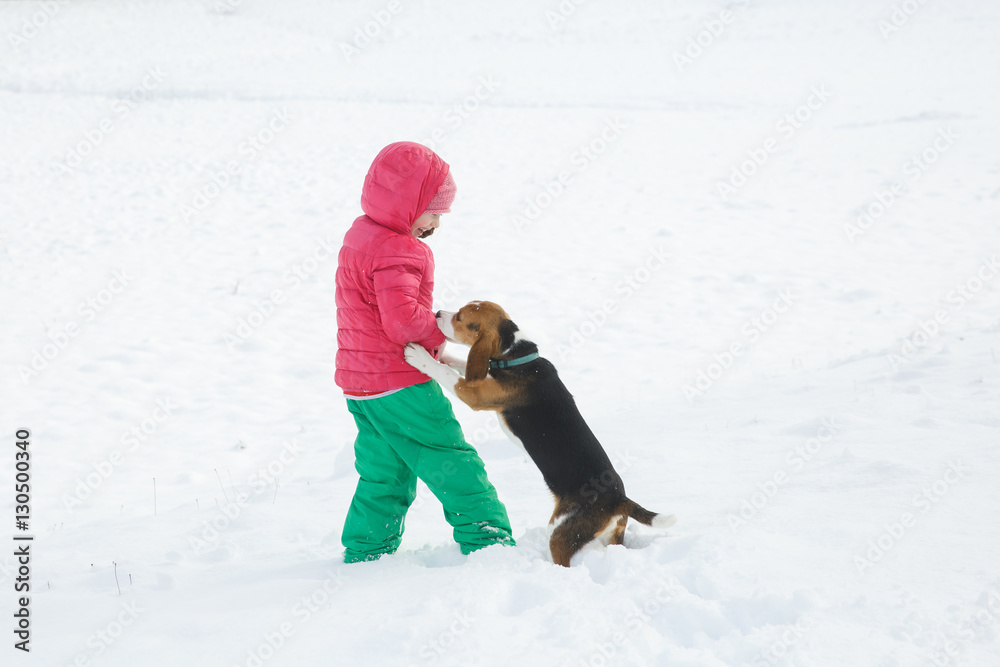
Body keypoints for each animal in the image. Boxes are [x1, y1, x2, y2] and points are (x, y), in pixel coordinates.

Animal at [402, 300, 676, 568]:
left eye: (460, 317)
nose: (438, 313)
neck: (517, 356)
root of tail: (619, 499)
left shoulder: (474, 394)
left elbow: (447, 374)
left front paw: (420, 357)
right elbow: (461, 364)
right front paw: (446, 356)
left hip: (559, 532)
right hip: (610, 536)